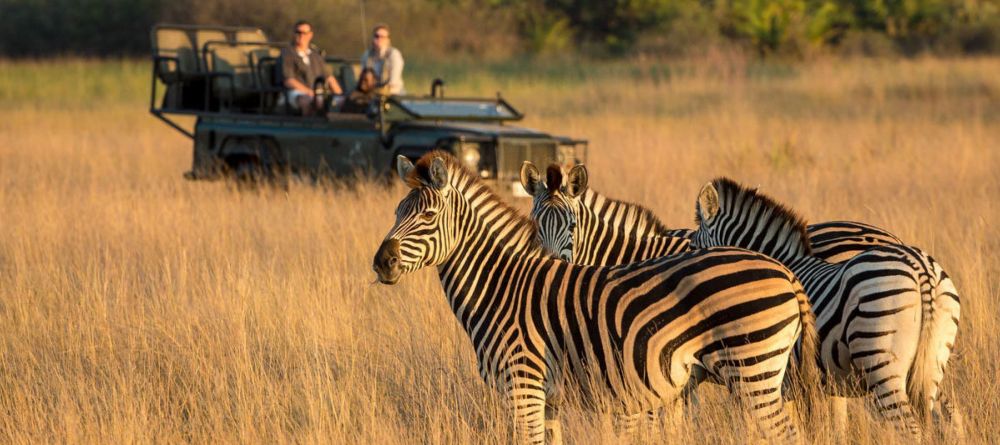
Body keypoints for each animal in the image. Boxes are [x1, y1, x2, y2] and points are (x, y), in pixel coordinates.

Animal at [376, 152, 820, 440]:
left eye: (428, 216)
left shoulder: (523, 386)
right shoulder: (547, 399)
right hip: (766, 374)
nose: (381, 262)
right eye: (396, 212)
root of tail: (784, 271)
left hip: (753, 371)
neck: (501, 285)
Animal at [692, 177, 964, 438]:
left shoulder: (782, 377)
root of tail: (922, 270)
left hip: (881, 360)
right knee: (945, 415)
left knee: (909, 426)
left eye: (692, 249)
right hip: (931, 361)